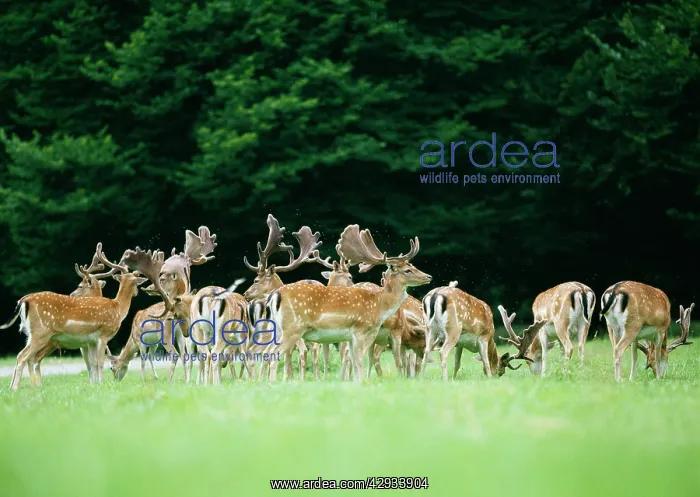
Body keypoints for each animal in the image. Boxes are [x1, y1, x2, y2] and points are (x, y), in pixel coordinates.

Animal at [1, 244, 148, 390]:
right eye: (137, 282)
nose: (136, 292)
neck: (118, 308)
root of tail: (24, 300)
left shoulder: (91, 340)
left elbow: (93, 363)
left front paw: (95, 385)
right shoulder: (103, 335)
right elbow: (100, 362)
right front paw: (101, 383)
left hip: (31, 334)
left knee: (29, 358)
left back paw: (24, 387)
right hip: (41, 332)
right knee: (22, 356)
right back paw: (15, 388)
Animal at [265, 224, 432, 382]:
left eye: (413, 266)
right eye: (407, 270)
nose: (428, 276)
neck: (379, 305)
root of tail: (275, 295)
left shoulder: (350, 337)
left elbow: (354, 361)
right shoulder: (360, 330)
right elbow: (359, 361)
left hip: (278, 329)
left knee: (268, 351)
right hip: (293, 328)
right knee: (274, 353)